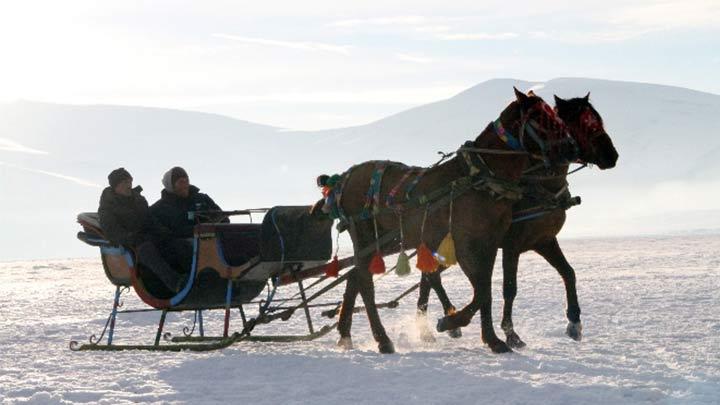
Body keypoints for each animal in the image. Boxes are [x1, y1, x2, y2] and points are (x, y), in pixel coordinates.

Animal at [332, 87, 580, 350]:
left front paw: (491, 339)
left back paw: (346, 333)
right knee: (366, 283)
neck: (481, 180)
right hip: (365, 234)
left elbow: (485, 290)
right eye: (542, 119)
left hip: (391, 240)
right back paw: (383, 339)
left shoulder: (491, 243)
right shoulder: (467, 244)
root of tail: (345, 177)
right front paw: (451, 322)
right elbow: (483, 292)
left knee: (357, 276)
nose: (572, 148)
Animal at [416, 93, 620, 346]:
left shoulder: (544, 240)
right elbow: (509, 288)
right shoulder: (511, 245)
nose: (612, 155)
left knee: (427, 277)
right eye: (584, 123)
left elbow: (568, 272)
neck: (538, 187)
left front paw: (574, 322)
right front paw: (510, 333)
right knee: (431, 277)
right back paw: (444, 320)